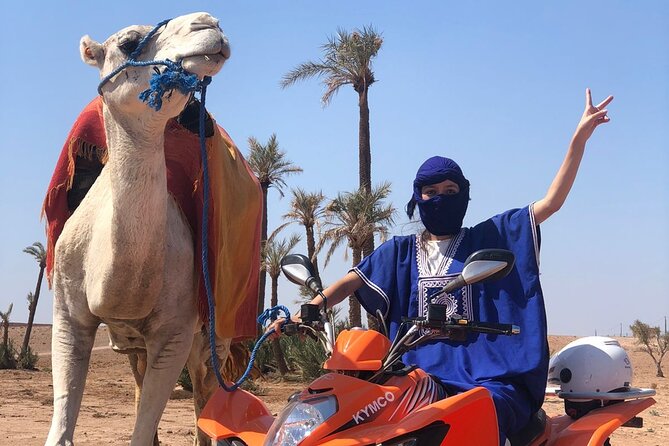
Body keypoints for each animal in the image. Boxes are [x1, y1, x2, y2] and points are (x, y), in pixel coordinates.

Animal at [47, 12, 236, 445]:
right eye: (130, 42)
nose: (210, 23)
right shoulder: (68, 316)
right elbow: (63, 425)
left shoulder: (176, 332)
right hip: (134, 343)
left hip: (213, 333)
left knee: (206, 389)